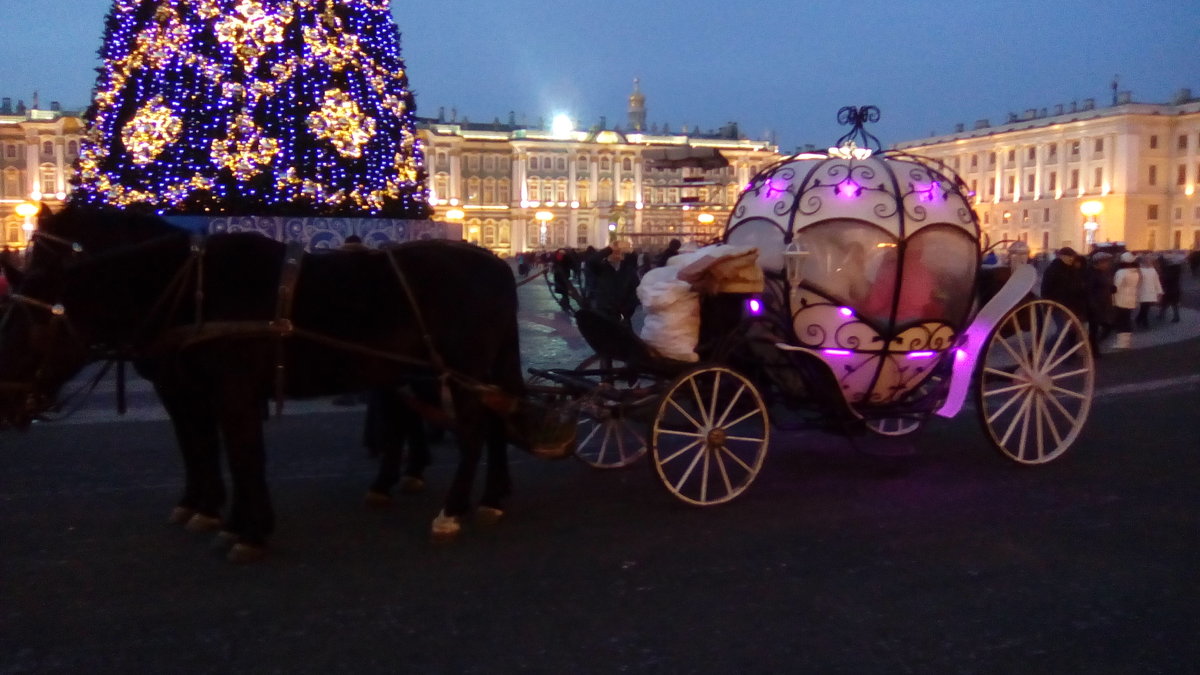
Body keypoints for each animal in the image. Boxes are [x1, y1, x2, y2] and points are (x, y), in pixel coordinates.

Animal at [0, 206, 549, 562]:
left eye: (36, 322)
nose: (9, 403)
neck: (191, 287)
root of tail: (495, 263)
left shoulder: (227, 390)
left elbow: (240, 453)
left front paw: (247, 530)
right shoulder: (195, 390)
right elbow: (210, 449)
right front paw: (216, 514)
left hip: (462, 368)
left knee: (474, 431)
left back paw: (451, 511)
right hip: (461, 369)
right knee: (489, 424)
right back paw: (488, 498)